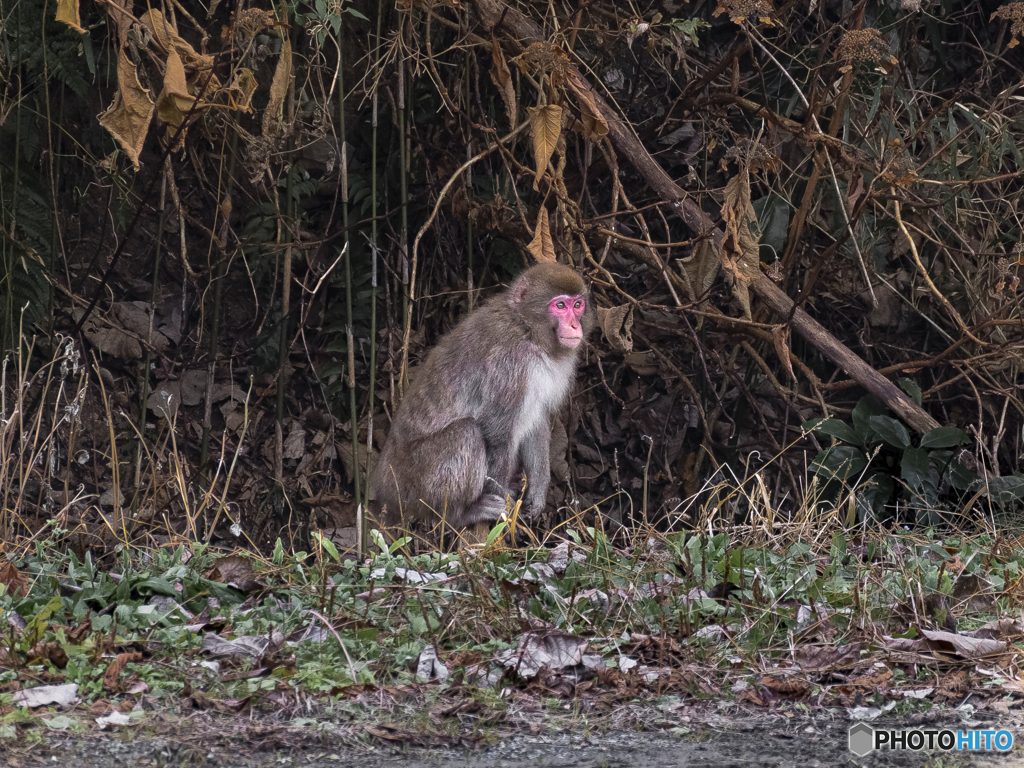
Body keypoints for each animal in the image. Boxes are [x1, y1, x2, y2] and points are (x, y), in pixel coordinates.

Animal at [370, 262, 598, 536]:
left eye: (578, 305)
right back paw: (460, 515)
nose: (575, 326)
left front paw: (537, 491)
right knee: (466, 433)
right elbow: (497, 433)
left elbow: (537, 421)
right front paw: (506, 513)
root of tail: (384, 489)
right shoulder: (509, 365)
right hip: (413, 488)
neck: (527, 329)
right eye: (560, 305)